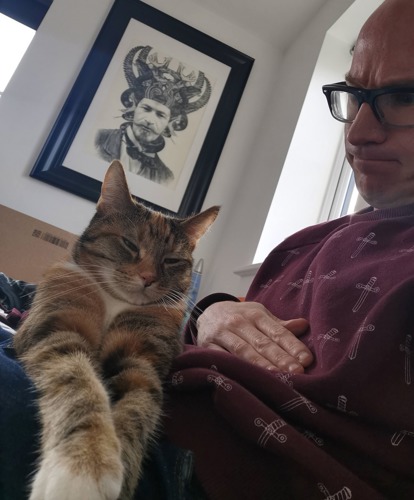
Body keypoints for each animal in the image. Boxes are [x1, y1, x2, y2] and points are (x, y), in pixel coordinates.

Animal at [13, 161, 220, 500]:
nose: (148, 278)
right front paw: (87, 462)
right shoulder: (56, 328)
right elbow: (78, 383)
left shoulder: (142, 361)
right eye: (130, 244)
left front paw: (118, 460)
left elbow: (138, 407)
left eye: (172, 260)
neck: (114, 301)